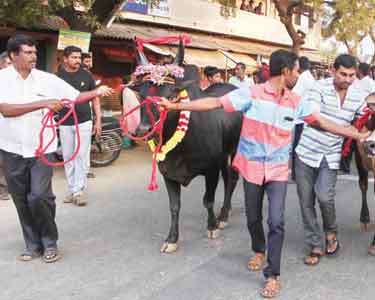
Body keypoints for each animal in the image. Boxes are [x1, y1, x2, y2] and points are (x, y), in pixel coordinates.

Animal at [137, 64, 242, 252]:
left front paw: (212, 226)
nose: (144, 130)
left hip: (235, 148)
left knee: (233, 177)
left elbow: (208, 200)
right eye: (141, 95)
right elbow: (174, 207)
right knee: (228, 177)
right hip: (223, 156)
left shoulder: (211, 170)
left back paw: (222, 216)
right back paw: (226, 210)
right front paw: (172, 239)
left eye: (172, 96)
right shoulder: (168, 173)